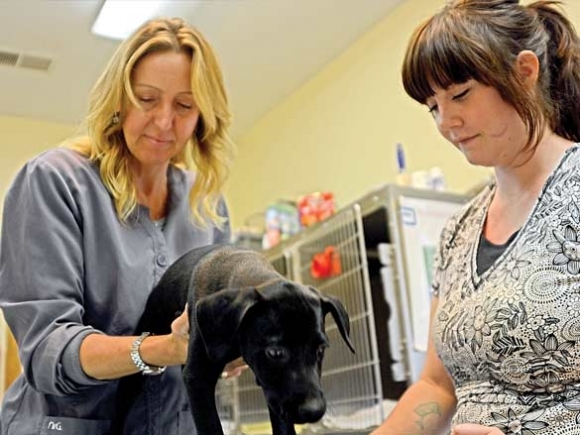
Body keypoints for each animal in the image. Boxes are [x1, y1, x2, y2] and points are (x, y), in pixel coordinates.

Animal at [112, 245, 354, 435]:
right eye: (275, 352)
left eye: (320, 350)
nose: (314, 410)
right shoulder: (197, 378)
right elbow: (211, 427)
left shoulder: (272, 389)